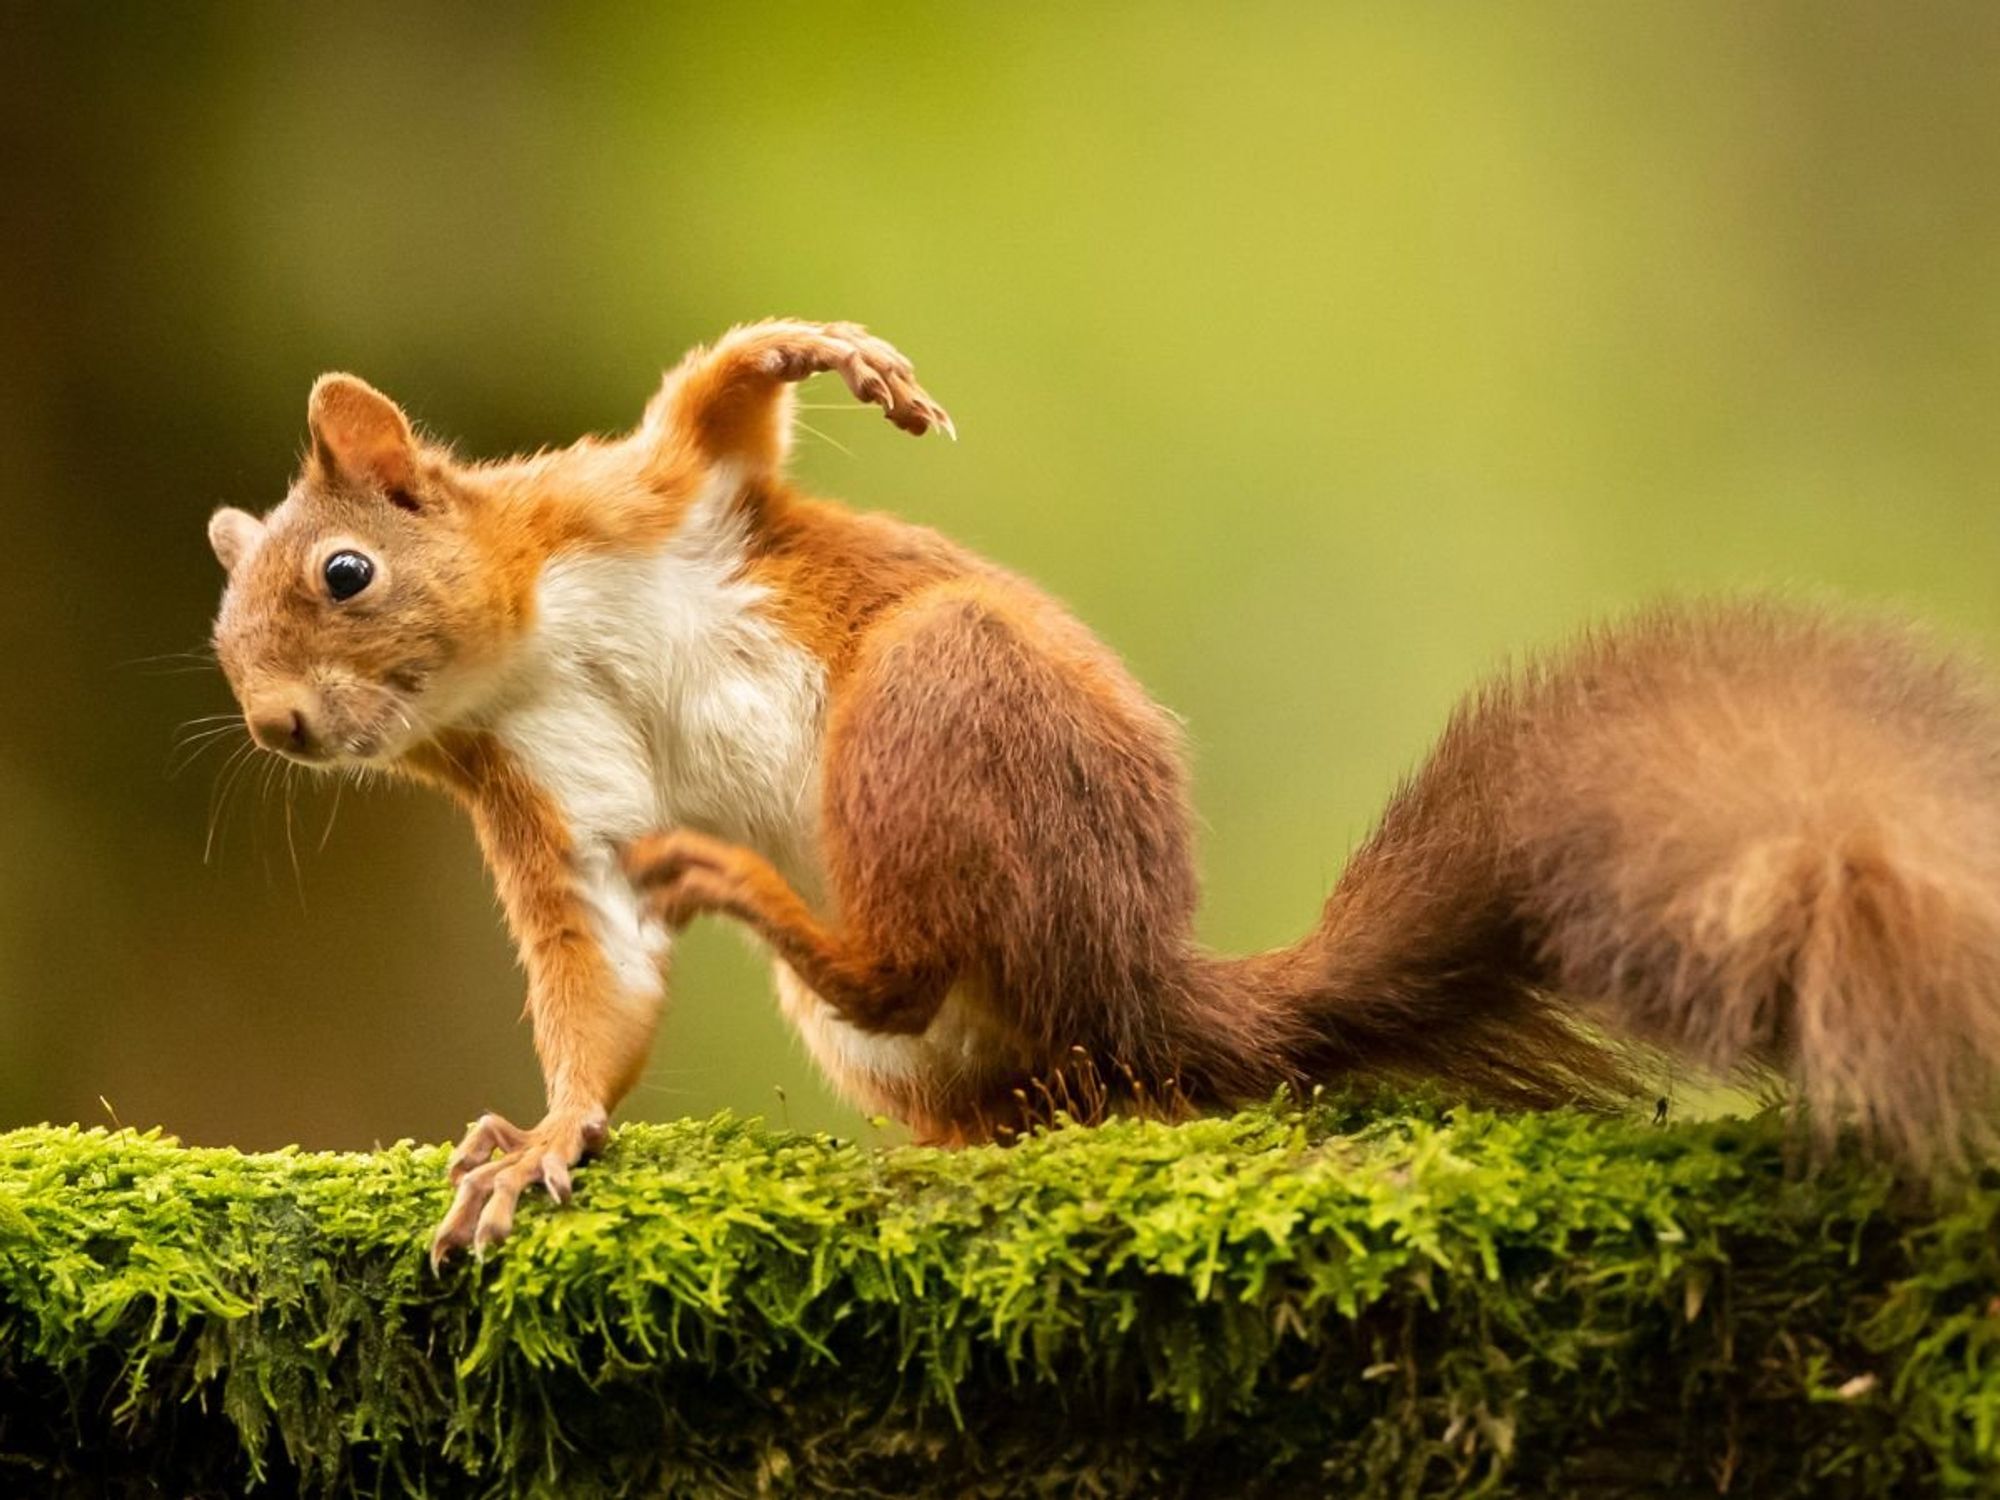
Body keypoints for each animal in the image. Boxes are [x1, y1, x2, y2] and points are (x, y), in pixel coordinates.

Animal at [204, 318, 2000, 1261]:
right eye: (224, 646)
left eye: (348, 573)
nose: (282, 727)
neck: (525, 650)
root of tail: (1138, 977)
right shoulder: (545, 795)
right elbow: (602, 983)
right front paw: (544, 1139)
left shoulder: (634, 499)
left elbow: (716, 414)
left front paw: (826, 357)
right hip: (942, 1038)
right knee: (1009, 1069)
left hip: (941, 695)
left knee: (910, 955)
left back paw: (759, 891)